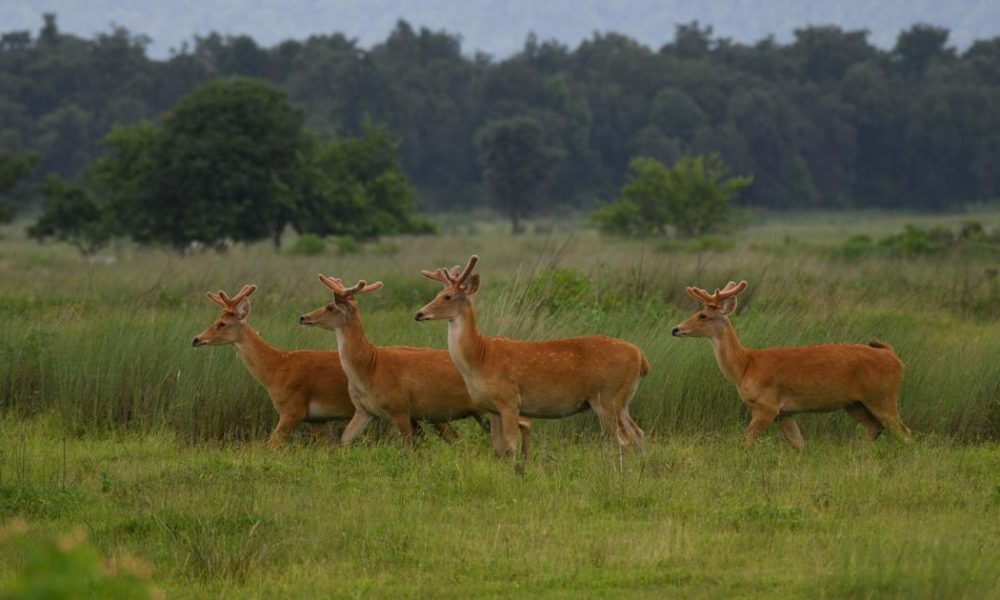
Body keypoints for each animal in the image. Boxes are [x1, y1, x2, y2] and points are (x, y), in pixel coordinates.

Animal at [192, 284, 456, 447]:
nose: (196, 339)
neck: (276, 367)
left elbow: (270, 445)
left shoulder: (293, 410)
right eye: (216, 319)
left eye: (222, 323)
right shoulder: (316, 420)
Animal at [298, 275, 531, 454]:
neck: (370, 366)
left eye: (331, 307)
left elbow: (408, 448)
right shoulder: (364, 410)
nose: (303, 317)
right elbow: (344, 440)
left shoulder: (400, 407)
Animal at [415, 255, 650, 463]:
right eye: (439, 292)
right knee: (638, 434)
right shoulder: (491, 408)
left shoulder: (509, 399)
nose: (419, 314)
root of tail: (641, 357)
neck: (480, 358)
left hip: (607, 396)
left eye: (448, 296)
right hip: (622, 401)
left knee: (622, 441)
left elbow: (510, 445)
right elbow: (497, 448)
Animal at [671, 280, 912, 450]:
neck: (746, 365)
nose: (675, 329)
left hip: (883, 397)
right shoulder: (785, 413)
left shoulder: (766, 406)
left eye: (703, 315)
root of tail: (893, 356)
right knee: (875, 427)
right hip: (855, 404)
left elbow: (746, 442)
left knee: (905, 433)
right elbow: (799, 445)